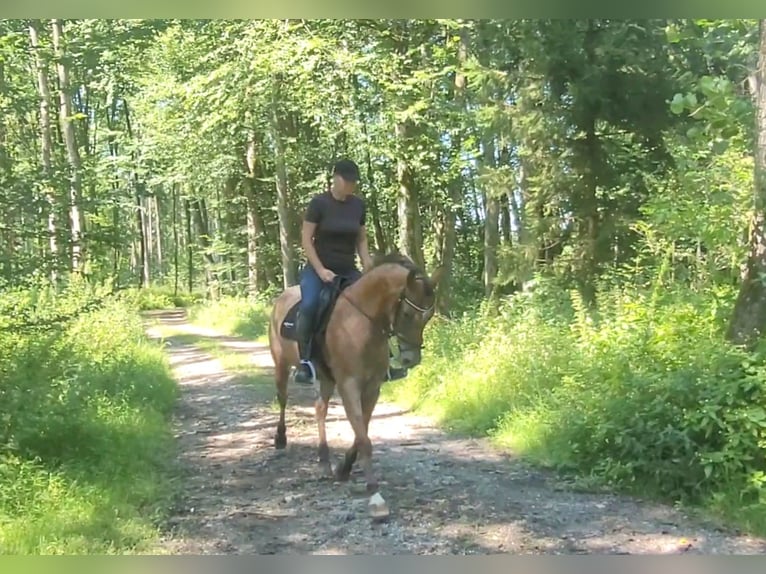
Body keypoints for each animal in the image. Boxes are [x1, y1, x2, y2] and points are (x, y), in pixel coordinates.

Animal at [268, 254, 444, 498]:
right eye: (408, 314)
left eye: (429, 316)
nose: (411, 359)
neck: (361, 322)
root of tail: (281, 299)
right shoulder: (348, 385)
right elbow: (363, 436)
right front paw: (372, 487)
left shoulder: (372, 387)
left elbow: (363, 429)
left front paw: (344, 468)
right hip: (281, 365)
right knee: (283, 399)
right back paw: (281, 438)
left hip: (326, 378)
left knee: (320, 408)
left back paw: (324, 461)